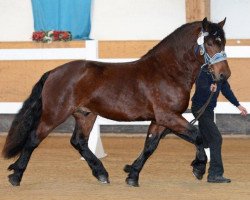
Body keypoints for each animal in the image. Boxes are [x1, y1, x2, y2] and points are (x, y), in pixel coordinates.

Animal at [2, 18, 231, 187]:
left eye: (224, 41)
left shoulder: (160, 120)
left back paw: (101, 173)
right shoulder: (168, 116)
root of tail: (54, 72)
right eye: (210, 42)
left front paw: (132, 175)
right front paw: (199, 167)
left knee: (79, 142)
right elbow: (198, 136)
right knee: (33, 139)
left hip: (85, 115)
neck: (167, 71)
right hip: (55, 114)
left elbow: (150, 146)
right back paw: (16, 176)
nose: (224, 75)